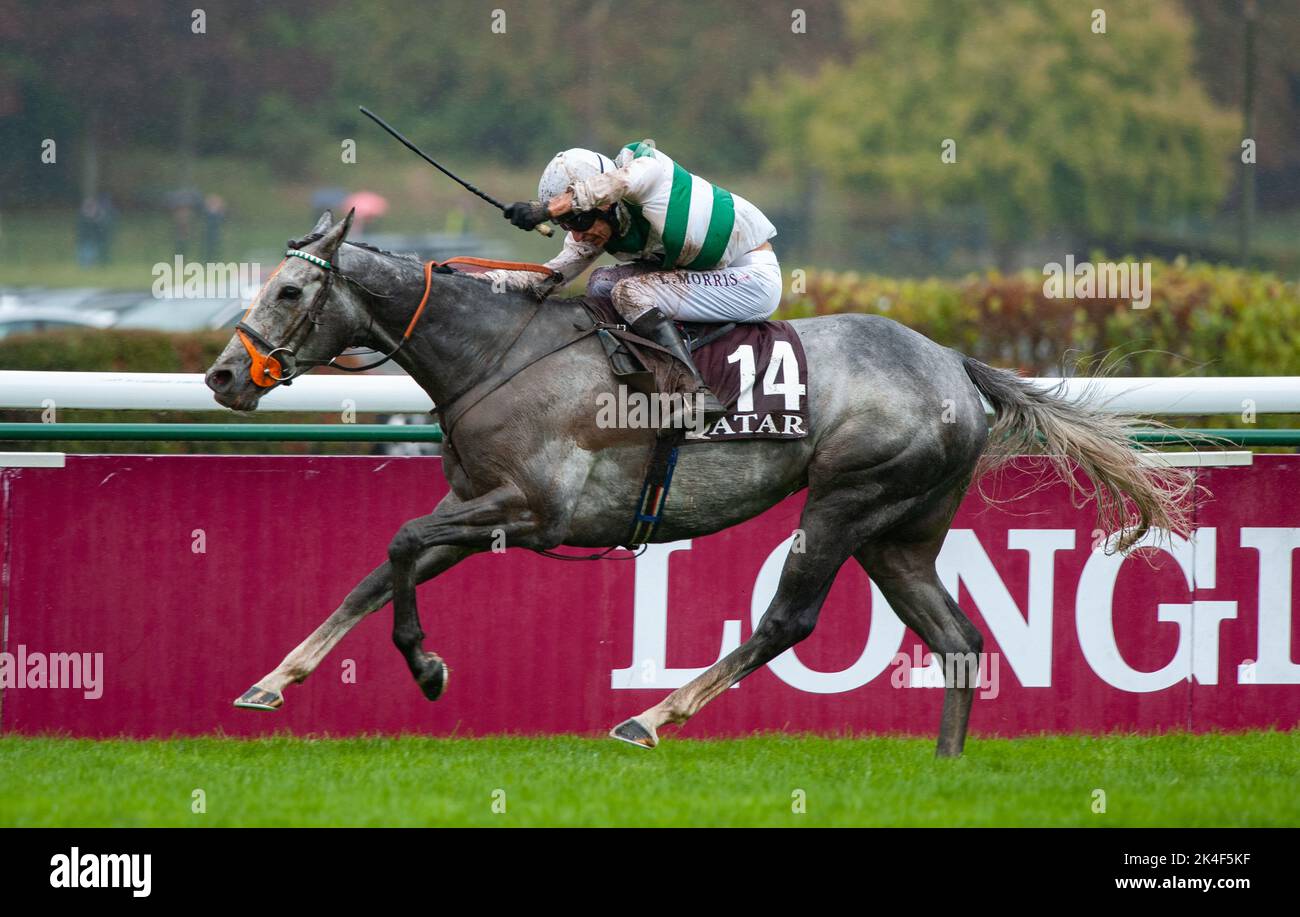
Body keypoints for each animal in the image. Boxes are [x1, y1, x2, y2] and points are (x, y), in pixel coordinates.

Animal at [208, 210, 1190, 754]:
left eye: (290, 291)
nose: (221, 375)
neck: (497, 351)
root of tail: (953, 362)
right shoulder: (477, 505)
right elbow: (379, 570)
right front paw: (271, 680)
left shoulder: (533, 508)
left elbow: (401, 544)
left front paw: (427, 665)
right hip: (900, 534)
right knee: (958, 637)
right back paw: (944, 767)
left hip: (845, 501)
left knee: (789, 619)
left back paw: (652, 716)